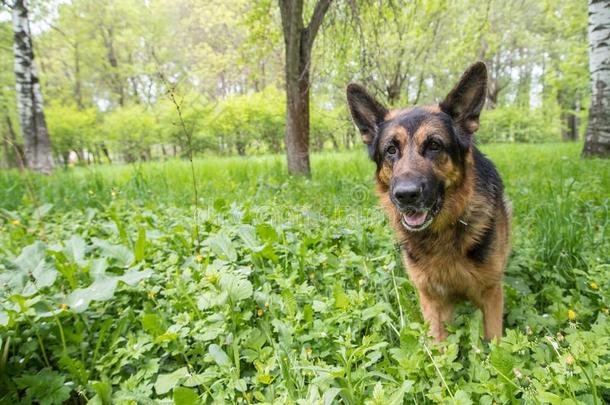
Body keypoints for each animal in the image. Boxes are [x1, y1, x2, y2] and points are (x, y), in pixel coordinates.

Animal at [346, 62, 508, 340]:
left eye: (434, 145)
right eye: (391, 150)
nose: (406, 195)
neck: (442, 232)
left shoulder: (491, 297)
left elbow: (495, 344)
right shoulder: (433, 301)